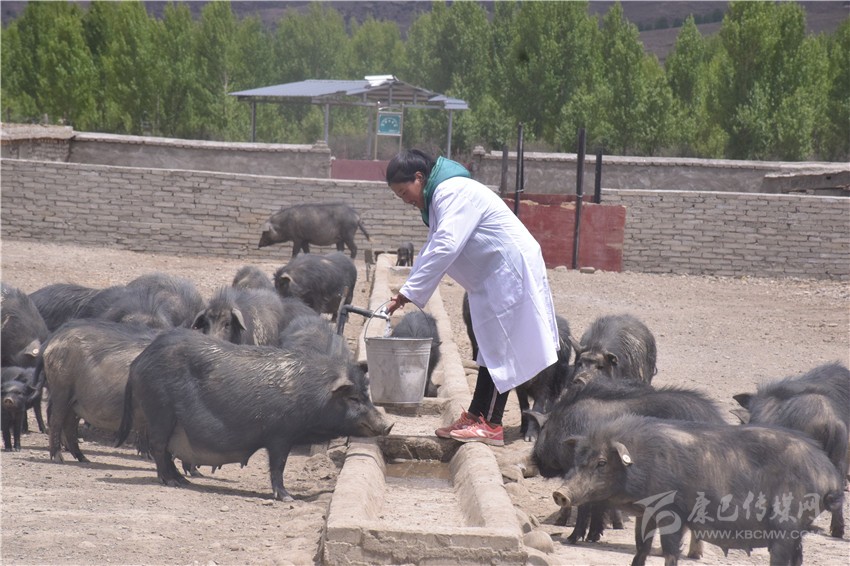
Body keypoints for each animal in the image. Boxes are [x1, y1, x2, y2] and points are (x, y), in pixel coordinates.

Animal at [41, 319, 158, 462]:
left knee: (69, 425)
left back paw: (83, 459)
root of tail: (53, 341)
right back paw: (58, 458)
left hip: (75, 402)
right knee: (55, 420)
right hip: (61, 391)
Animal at [115, 328, 392, 501]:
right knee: (159, 447)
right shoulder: (280, 435)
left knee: (167, 452)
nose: (388, 424)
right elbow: (278, 466)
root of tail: (138, 361)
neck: (313, 396)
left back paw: (183, 482)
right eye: (354, 398)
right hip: (159, 411)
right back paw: (171, 482)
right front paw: (288, 498)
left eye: (366, 394)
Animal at [462, 291, 573, 441]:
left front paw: (531, 436)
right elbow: (524, 407)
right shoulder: (520, 388)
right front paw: (523, 430)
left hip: (557, 382)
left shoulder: (544, 386)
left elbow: (537, 407)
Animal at [552, 414, 844, 566]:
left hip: (785, 523)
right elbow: (641, 549)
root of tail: (829, 474)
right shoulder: (645, 514)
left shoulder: (673, 513)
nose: (560, 493)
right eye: (578, 458)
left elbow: (670, 551)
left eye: (601, 462)